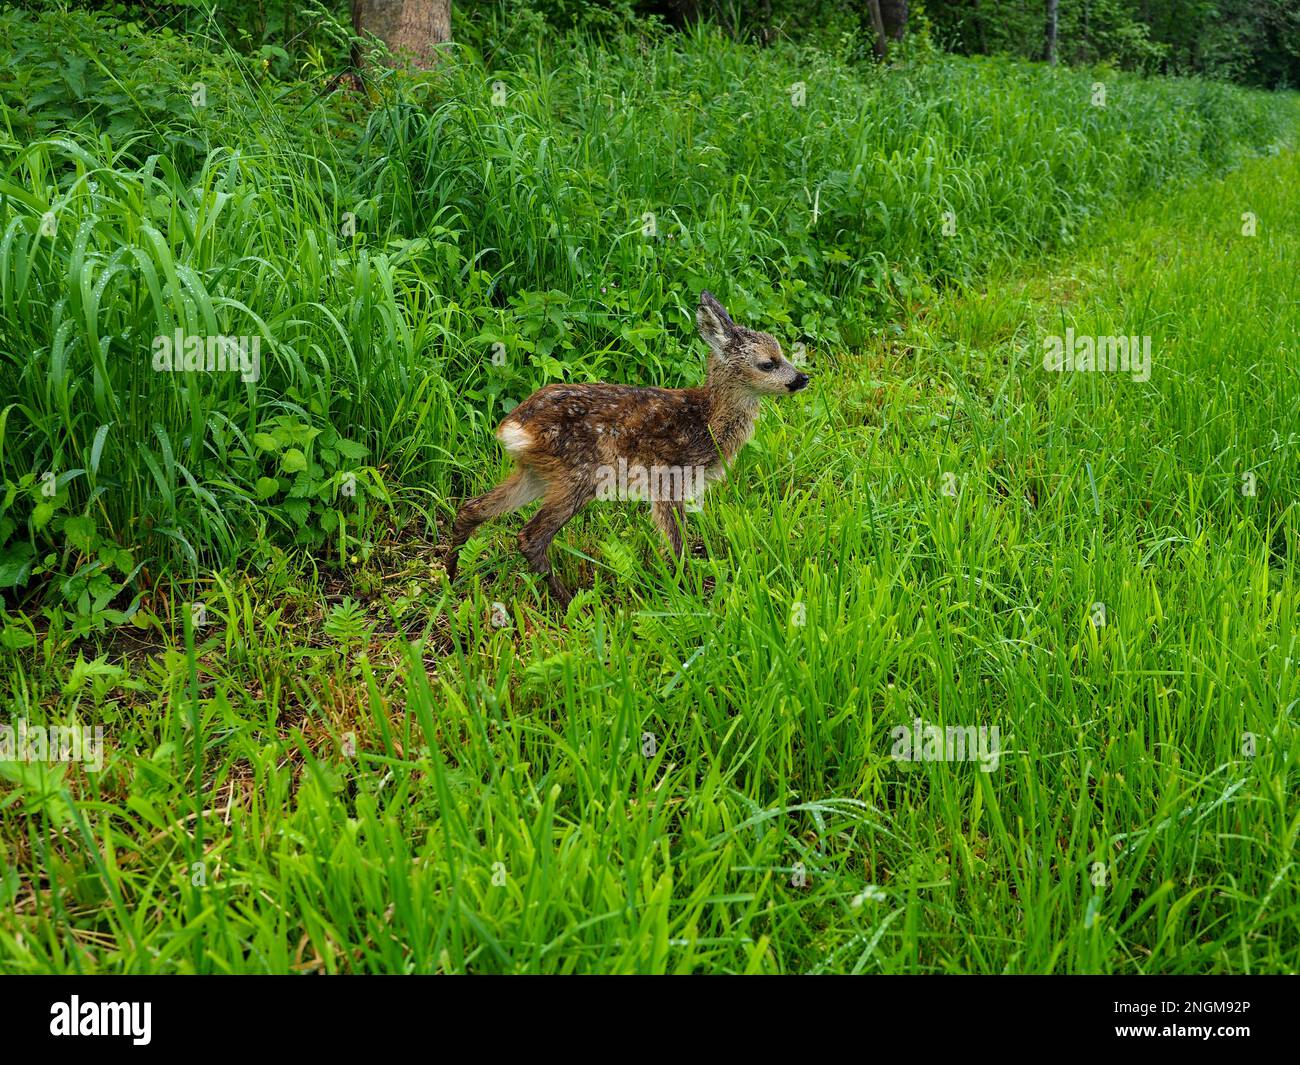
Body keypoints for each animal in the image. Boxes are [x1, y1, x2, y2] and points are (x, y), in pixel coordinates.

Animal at [444, 291, 810, 605]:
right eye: (768, 363)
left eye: (782, 354)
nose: (802, 378)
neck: (706, 422)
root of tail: (515, 427)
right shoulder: (669, 476)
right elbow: (675, 543)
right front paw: (688, 595)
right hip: (581, 472)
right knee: (530, 536)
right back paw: (568, 602)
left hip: (537, 473)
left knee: (472, 508)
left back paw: (451, 577)